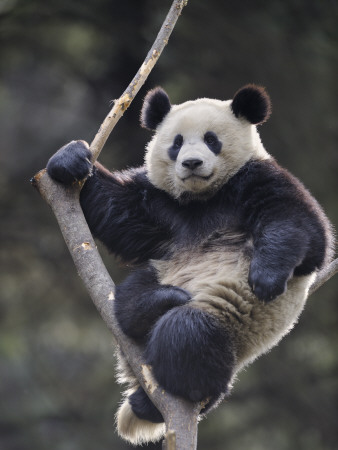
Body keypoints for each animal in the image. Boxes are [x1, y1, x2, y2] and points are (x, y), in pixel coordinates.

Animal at [46, 85, 332, 446]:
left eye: (211, 139)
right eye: (177, 142)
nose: (192, 163)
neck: (204, 198)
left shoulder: (259, 178)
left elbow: (302, 228)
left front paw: (267, 276)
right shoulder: (161, 203)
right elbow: (118, 214)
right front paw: (70, 160)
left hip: (231, 325)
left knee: (189, 335)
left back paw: (168, 393)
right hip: (161, 273)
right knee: (131, 299)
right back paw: (160, 301)